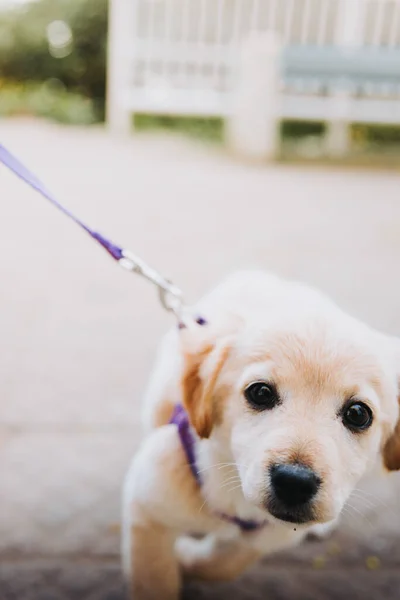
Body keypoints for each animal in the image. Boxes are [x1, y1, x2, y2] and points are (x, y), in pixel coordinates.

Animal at [122, 274, 400, 600]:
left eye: (358, 414)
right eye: (261, 392)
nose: (294, 482)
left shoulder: (273, 534)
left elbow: (228, 561)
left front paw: (188, 556)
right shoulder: (147, 506)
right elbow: (155, 578)